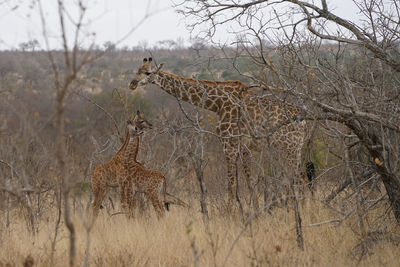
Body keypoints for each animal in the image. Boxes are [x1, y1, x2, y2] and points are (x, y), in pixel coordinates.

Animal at [130, 57, 308, 208]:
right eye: (137, 70)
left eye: (147, 73)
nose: (132, 84)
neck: (218, 103)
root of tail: (304, 121)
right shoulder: (242, 146)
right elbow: (248, 182)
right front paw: (254, 212)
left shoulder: (229, 144)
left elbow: (232, 184)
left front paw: (232, 215)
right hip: (294, 149)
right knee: (301, 177)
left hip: (290, 148)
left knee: (299, 178)